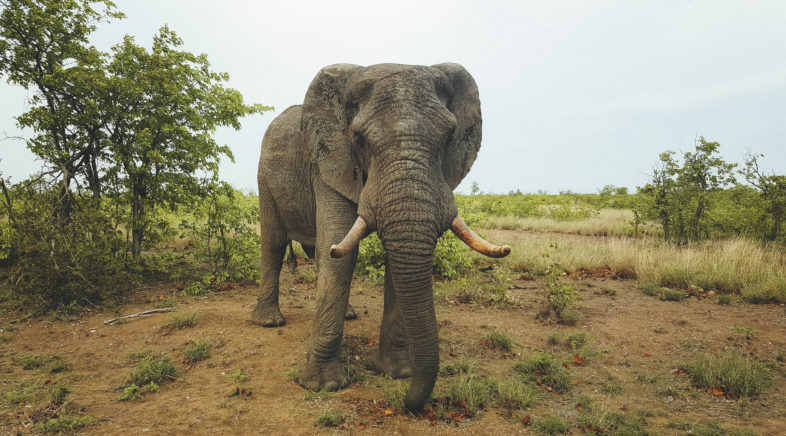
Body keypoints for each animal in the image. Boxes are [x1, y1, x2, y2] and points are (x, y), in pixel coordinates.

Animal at [250, 63, 508, 410]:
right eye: (359, 140)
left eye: (448, 138)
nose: (407, 404)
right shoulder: (331, 164)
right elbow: (339, 254)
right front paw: (323, 386)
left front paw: (397, 373)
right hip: (264, 178)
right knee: (275, 244)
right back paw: (269, 322)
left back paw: (348, 315)